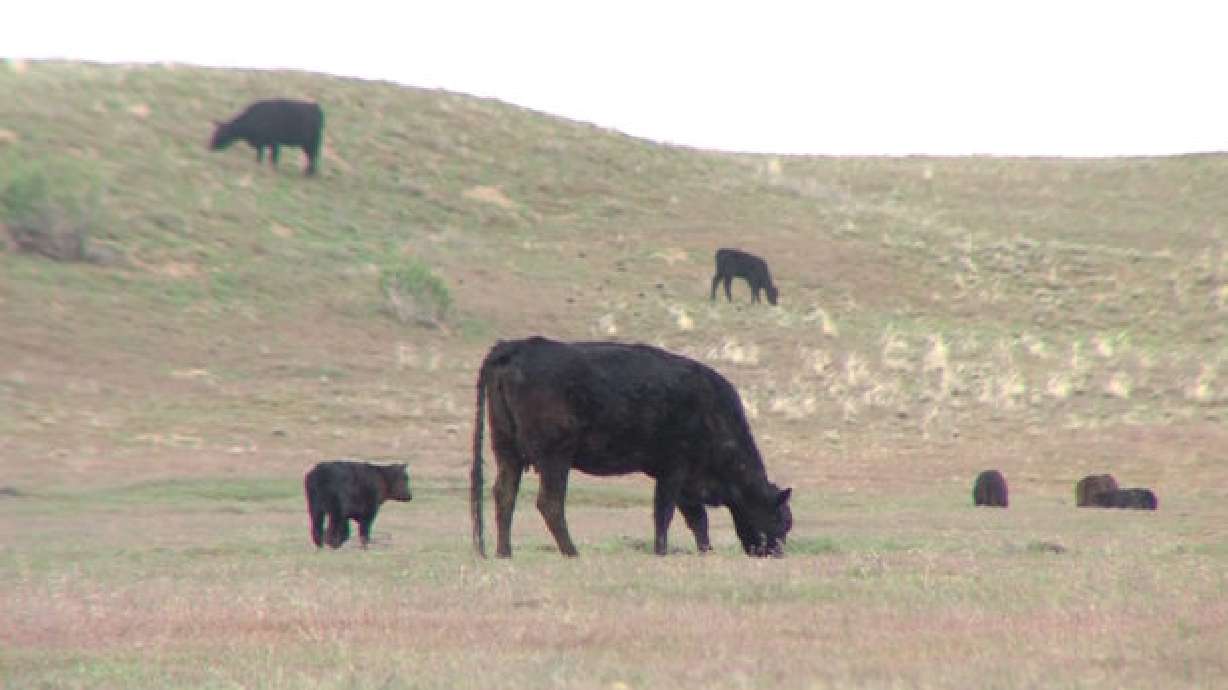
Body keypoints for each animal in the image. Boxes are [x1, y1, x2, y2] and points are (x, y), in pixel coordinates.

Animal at [470, 336, 793, 558]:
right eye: (780, 519)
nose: (775, 553)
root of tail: (515, 347)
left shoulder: (686, 481)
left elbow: (697, 519)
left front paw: (705, 551)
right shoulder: (673, 468)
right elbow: (665, 512)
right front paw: (661, 551)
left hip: (507, 451)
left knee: (504, 494)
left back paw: (504, 552)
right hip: (554, 457)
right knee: (549, 502)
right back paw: (571, 552)